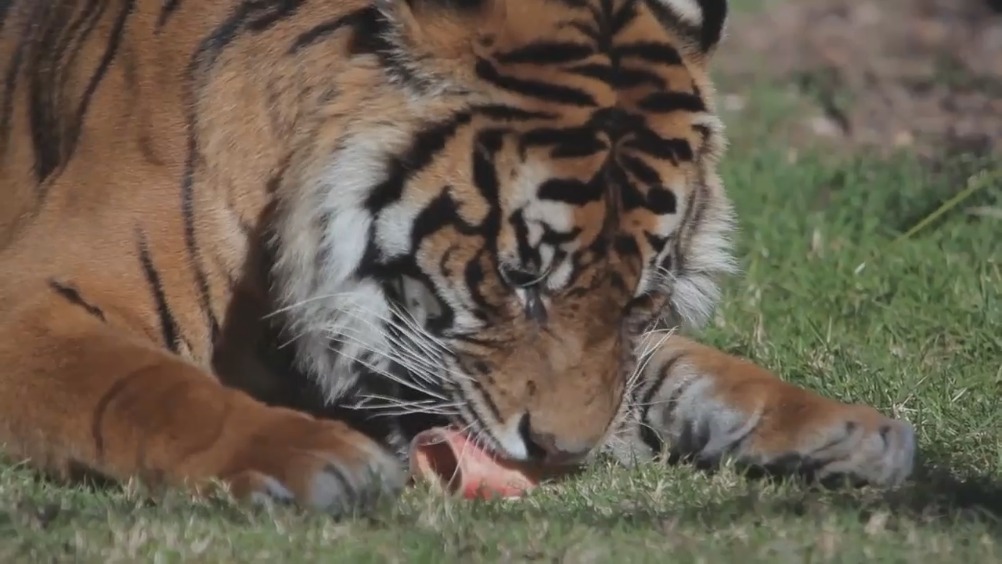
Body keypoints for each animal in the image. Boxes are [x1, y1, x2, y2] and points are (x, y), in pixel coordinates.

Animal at [0, 0, 917, 512]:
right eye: (521, 278)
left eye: (638, 301)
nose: (564, 455)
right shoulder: (30, 299)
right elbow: (147, 385)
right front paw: (311, 458)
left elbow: (677, 364)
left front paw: (845, 430)